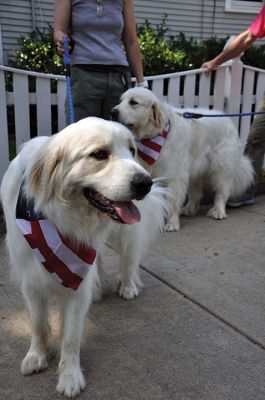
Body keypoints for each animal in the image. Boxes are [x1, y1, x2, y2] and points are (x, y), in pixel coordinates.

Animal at [0, 117, 169, 398]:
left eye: (131, 150)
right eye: (99, 154)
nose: (145, 183)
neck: (59, 218)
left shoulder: (76, 281)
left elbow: (70, 336)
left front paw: (70, 376)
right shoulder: (32, 278)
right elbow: (37, 323)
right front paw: (36, 356)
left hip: (126, 233)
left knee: (129, 259)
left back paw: (128, 286)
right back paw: (99, 290)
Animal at [110, 87, 253, 231]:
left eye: (133, 102)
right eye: (121, 100)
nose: (113, 112)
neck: (153, 136)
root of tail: (227, 119)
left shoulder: (175, 177)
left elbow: (173, 202)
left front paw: (172, 223)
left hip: (221, 167)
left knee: (222, 191)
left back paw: (218, 211)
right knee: (197, 193)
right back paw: (189, 209)